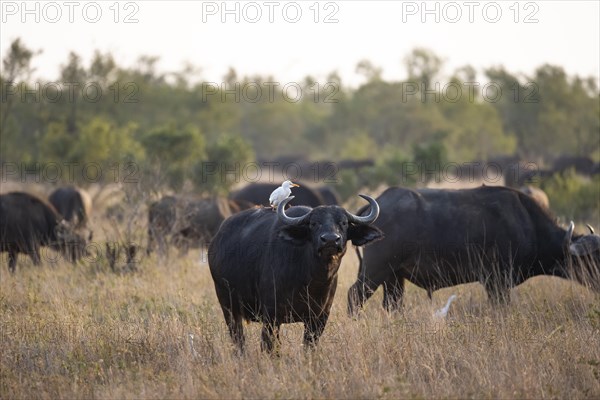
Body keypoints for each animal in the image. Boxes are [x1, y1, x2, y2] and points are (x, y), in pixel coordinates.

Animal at [209, 195, 382, 352]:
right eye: (313, 223)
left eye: (344, 223)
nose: (330, 240)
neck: (311, 281)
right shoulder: (271, 316)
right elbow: (270, 347)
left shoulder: (319, 318)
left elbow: (308, 347)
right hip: (228, 306)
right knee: (238, 339)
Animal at [346, 186, 600, 314]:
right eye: (596, 258)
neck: (527, 223)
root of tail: (377, 203)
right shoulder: (496, 281)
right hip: (375, 272)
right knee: (354, 296)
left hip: (394, 278)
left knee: (393, 305)